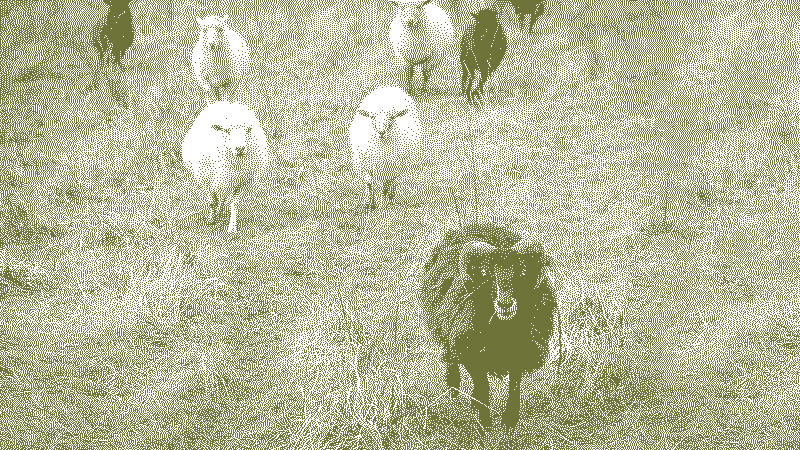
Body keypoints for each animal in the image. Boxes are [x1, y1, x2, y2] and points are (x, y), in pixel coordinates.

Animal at [181, 100, 272, 234]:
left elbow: (234, 204)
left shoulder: (239, 183)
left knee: (224, 198)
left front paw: (232, 227)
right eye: (227, 131)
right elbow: (212, 201)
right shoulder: (208, 179)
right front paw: (212, 219)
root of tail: (225, 103)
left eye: (248, 130)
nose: (240, 148)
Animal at [418, 223, 556, 431]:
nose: (505, 304)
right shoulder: (471, 353)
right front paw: (485, 423)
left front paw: (509, 420)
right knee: (452, 359)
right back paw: (454, 390)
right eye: (490, 275)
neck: (504, 330)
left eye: (520, 273)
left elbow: (514, 384)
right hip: (446, 332)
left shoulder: (520, 353)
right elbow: (483, 385)